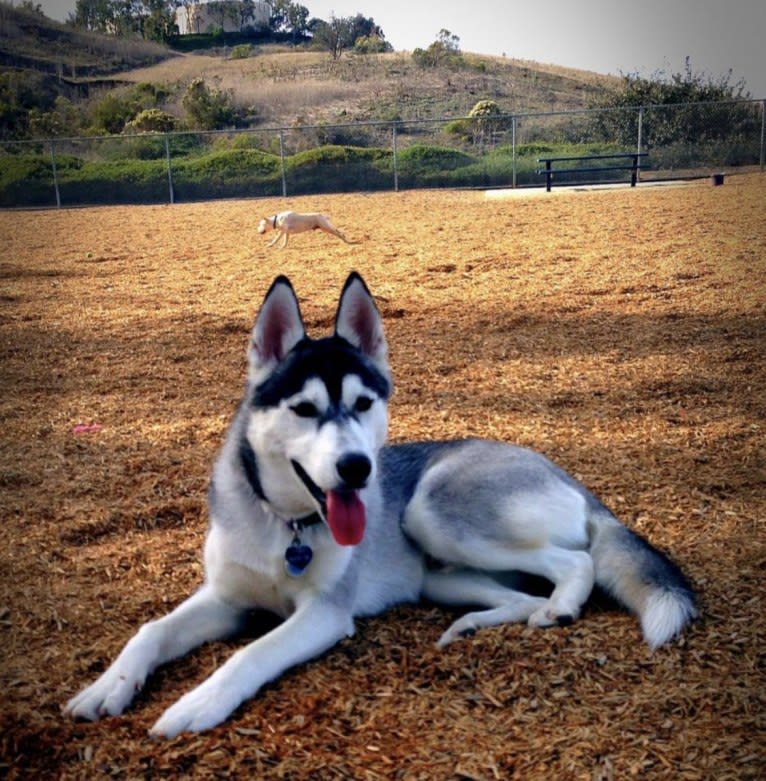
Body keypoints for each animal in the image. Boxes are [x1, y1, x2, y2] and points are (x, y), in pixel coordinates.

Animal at [64, 272, 696, 736]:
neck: (286, 528)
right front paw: (106, 687)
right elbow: (150, 630)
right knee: (518, 596)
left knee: (577, 561)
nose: (357, 468)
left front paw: (197, 704)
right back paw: (475, 624)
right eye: (304, 410)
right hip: (440, 577)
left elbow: (250, 654)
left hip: (433, 511)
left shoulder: (322, 614)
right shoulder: (226, 599)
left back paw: (560, 607)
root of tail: (566, 475)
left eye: (364, 403)